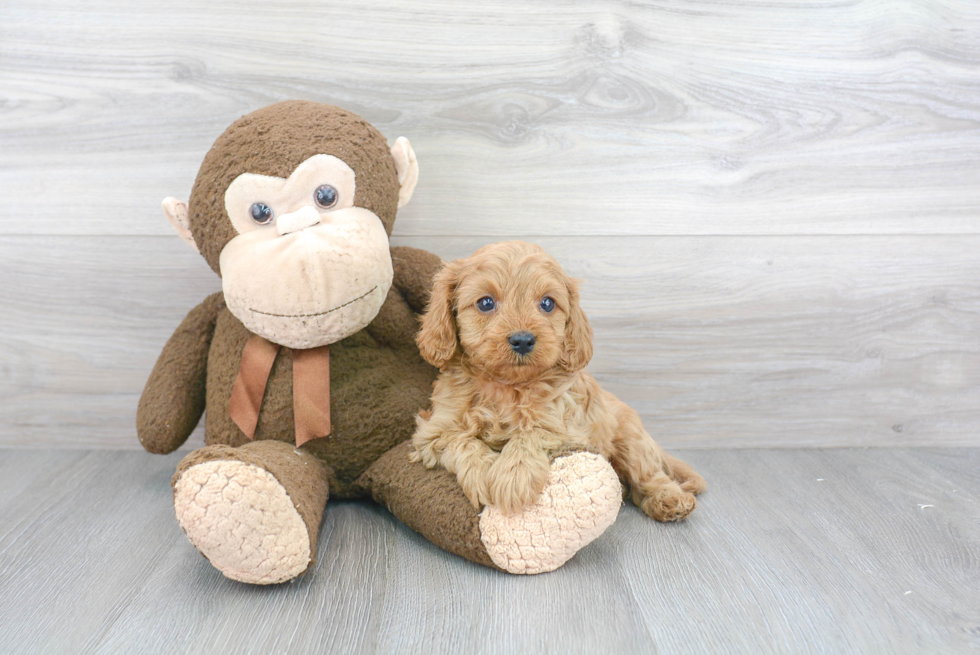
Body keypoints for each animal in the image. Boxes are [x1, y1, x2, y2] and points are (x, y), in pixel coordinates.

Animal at [412, 241, 704, 524]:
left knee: (649, 476)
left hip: (632, 441)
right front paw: (484, 472)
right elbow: (460, 440)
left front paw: (513, 476)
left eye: (547, 304)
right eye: (485, 303)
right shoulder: (433, 430)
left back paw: (669, 500)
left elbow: (533, 432)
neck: (506, 387)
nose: (523, 340)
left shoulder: (569, 426)